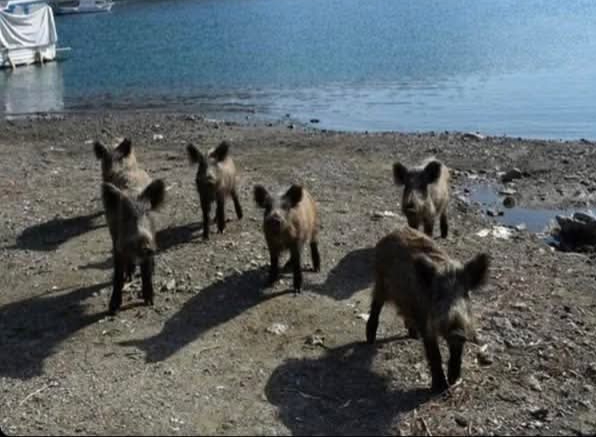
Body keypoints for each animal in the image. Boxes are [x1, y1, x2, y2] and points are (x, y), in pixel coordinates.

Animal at [101, 179, 165, 314]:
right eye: (126, 216)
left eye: (147, 213)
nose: (145, 246)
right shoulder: (117, 246)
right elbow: (118, 275)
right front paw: (112, 309)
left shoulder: (150, 247)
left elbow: (146, 274)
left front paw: (149, 302)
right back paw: (129, 276)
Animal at [366, 226, 489, 393]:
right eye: (438, 295)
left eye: (465, 294)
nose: (457, 330)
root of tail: (392, 233)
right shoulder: (426, 324)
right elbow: (434, 354)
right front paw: (440, 388)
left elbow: (456, 354)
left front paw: (454, 380)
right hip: (380, 282)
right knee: (376, 305)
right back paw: (370, 339)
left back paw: (413, 335)